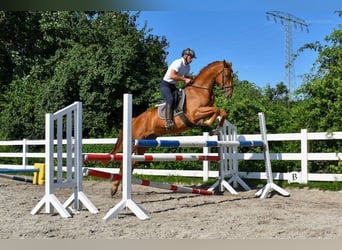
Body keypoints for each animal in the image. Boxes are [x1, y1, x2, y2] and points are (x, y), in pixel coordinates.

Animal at [109, 60, 232, 195]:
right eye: (227, 76)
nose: (229, 94)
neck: (200, 90)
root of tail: (135, 119)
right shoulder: (195, 113)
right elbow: (216, 110)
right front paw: (208, 124)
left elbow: (222, 112)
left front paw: (215, 129)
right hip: (134, 142)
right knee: (124, 161)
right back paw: (114, 188)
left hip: (143, 144)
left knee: (133, 161)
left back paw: (123, 186)